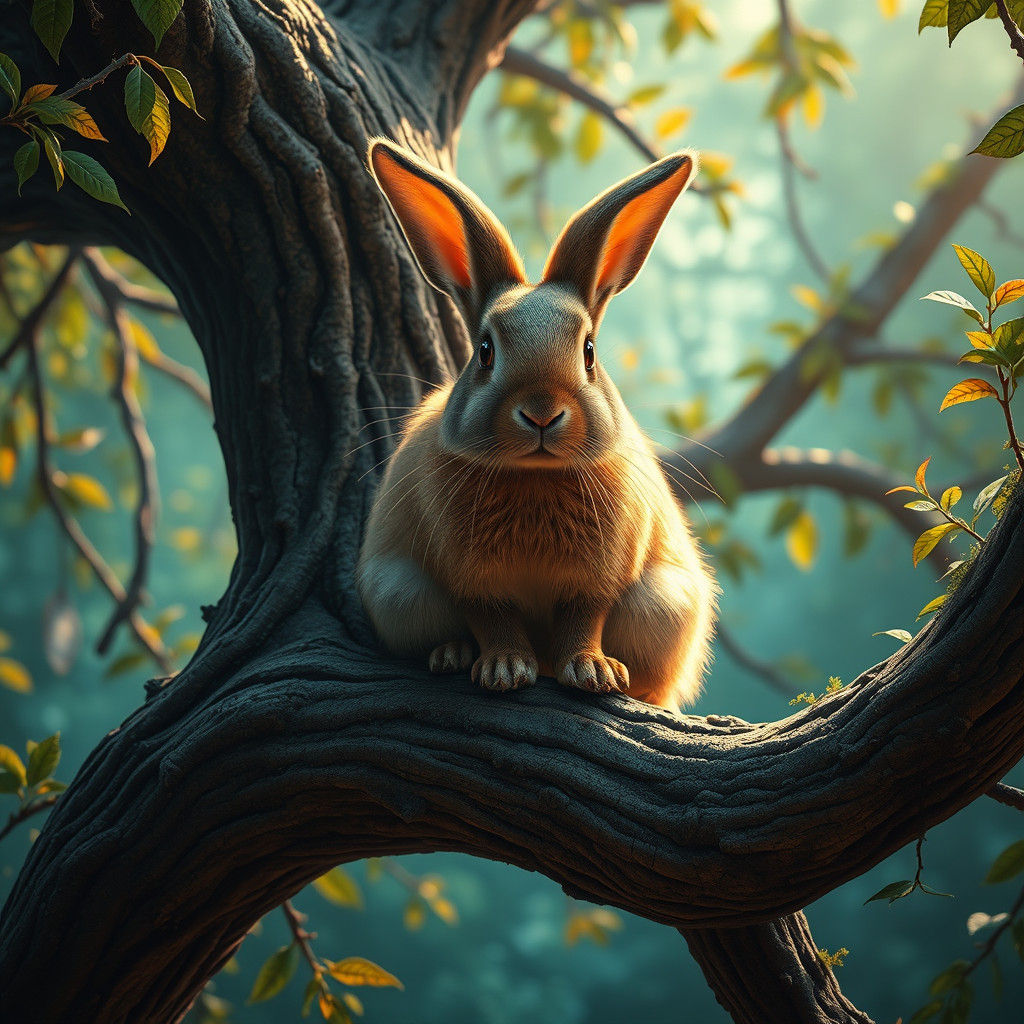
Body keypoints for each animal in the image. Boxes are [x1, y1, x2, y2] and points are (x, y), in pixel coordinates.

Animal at [356, 138, 717, 710]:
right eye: (485, 350)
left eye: (588, 351)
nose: (541, 413)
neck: (534, 476)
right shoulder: (473, 582)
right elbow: (493, 619)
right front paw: (504, 669)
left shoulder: (596, 582)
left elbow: (583, 621)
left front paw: (593, 671)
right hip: (399, 592)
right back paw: (452, 654)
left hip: (665, 603)